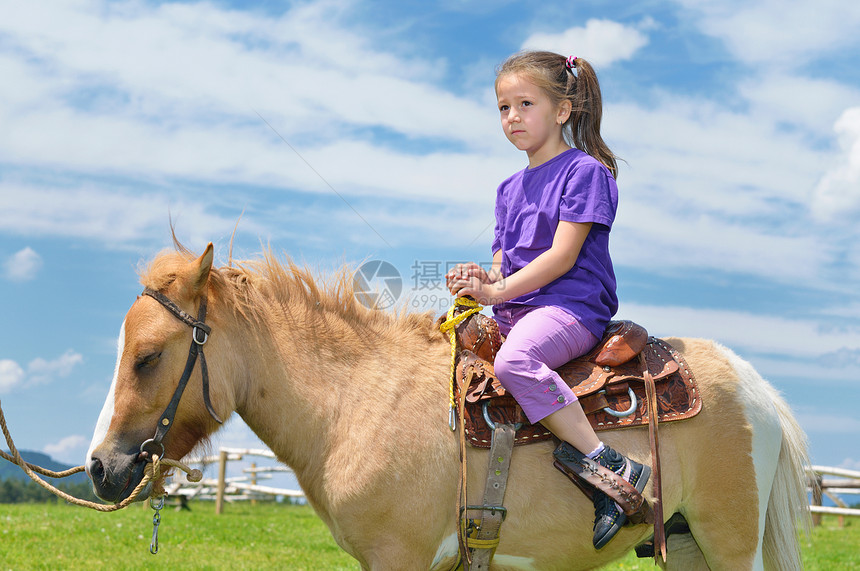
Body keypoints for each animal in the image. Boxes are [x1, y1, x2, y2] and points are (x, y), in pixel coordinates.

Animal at [84, 245, 808, 571]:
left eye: (147, 356)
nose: (100, 467)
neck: (357, 399)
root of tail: (755, 387)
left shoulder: (398, 557)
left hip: (729, 543)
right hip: (686, 543)